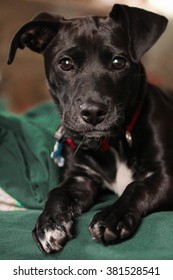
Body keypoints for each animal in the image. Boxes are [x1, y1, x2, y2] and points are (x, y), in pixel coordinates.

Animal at [7, 4, 173, 254]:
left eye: (118, 62)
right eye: (65, 63)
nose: (93, 112)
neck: (112, 144)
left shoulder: (164, 175)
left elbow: (136, 186)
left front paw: (112, 217)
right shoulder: (80, 179)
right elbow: (56, 192)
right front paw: (48, 223)